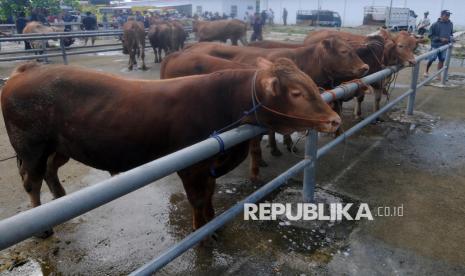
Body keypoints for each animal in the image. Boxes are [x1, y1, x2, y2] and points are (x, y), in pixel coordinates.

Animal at [1, 58, 338, 235]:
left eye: (311, 84)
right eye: (296, 92)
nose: (334, 120)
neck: (222, 99)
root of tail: (27, 69)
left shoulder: (210, 166)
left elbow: (210, 195)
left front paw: (213, 224)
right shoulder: (191, 166)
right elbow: (198, 200)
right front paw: (201, 234)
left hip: (60, 146)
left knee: (50, 170)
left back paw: (60, 201)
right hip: (30, 147)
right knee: (31, 181)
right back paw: (42, 226)